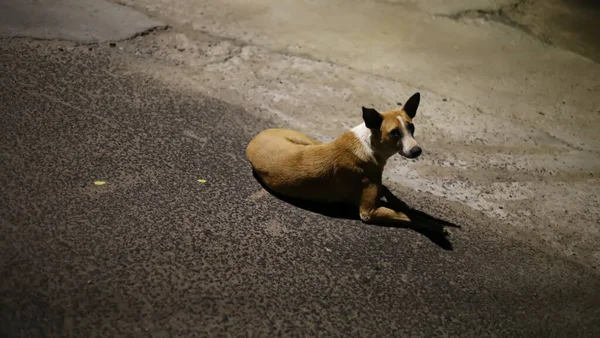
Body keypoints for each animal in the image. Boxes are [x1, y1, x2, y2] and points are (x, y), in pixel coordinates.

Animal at [246, 92, 424, 227]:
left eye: (411, 127)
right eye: (395, 133)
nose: (417, 151)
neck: (368, 143)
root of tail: (254, 139)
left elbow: (387, 191)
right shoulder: (368, 212)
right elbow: (411, 218)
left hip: (309, 142)